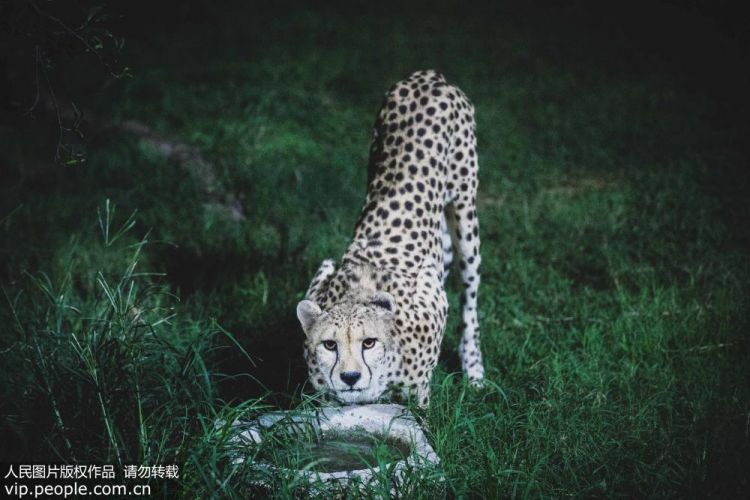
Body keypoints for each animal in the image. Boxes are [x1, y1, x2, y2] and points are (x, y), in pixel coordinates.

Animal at [296, 70, 484, 406]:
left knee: (470, 300)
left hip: (465, 214)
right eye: (330, 344)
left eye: (369, 342)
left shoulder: (432, 293)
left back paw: (474, 371)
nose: (350, 377)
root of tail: (427, 75)